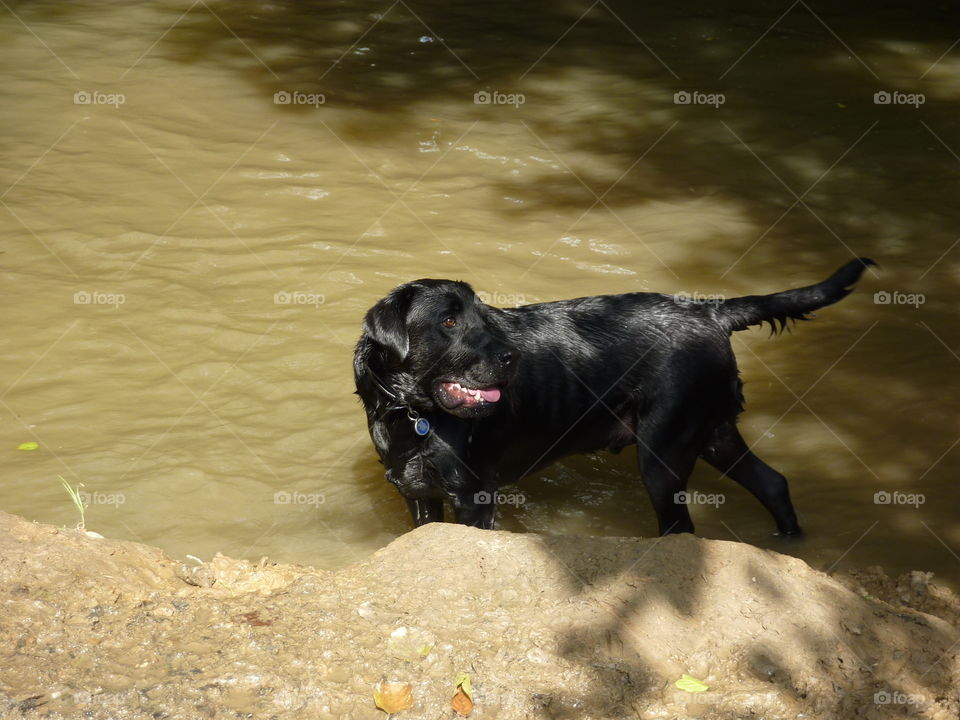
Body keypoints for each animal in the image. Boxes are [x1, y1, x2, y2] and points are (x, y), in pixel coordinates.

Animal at [354, 258, 876, 536]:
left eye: (483, 316)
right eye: (448, 320)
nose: (512, 356)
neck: (408, 410)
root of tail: (710, 311)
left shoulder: (474, 498)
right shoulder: (419, 495)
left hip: (665, 454)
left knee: (683, 526)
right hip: (714, 433)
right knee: (773, 483)